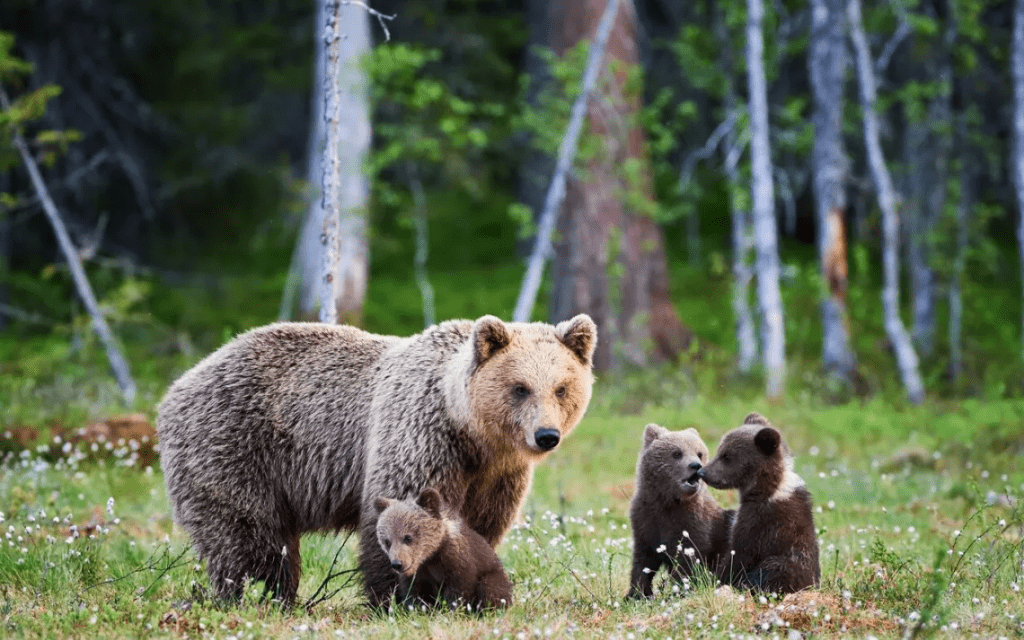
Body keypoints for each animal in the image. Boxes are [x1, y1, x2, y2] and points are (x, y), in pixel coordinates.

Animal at [374, 488, 513, 611]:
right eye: (387, 542)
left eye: (408, 537)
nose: (397, 563)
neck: (431, 556)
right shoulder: (418, 575)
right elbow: (414, 594)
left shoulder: (458, 562)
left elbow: (459, 590)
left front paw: (452, 610)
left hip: (495, 574)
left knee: (490, 587)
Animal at [626, 424, 735, 599]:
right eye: (677, 453)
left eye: (699, 453)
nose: (696, 465)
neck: (668, 502)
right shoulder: (645, 521)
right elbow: (643, 560)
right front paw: (636, 594)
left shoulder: (694, 524)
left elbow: (688, 561)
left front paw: (679, 589)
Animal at [697, 412, 820, 594]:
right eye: (720, 450)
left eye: (727, 456)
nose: (702, 472)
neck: (767, 490)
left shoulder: (761, 522)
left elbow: (740, 554)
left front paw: (714, 579)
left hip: (786, 566)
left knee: (776, 567)